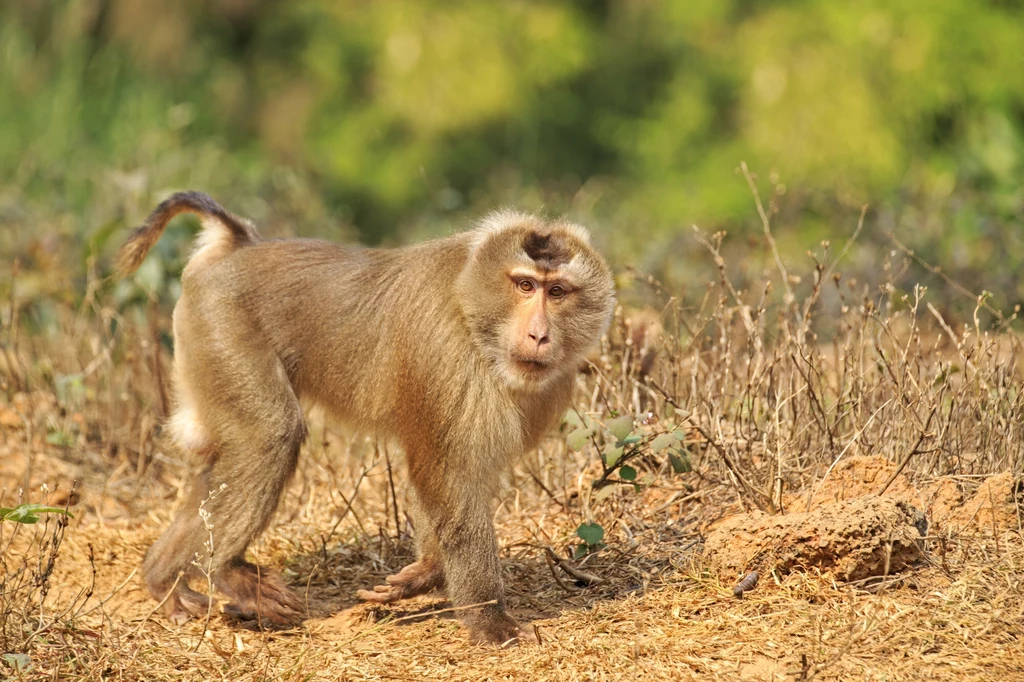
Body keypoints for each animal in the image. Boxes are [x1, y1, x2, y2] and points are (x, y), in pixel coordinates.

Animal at [119, 191, 614, 643]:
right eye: (525, 285)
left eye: (558, 291)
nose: (539, 335)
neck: (474, 312)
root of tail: (240, 244)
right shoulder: (447, 353)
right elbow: (448, 472)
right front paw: (489, 619)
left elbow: (442, 472)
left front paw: (425, 574)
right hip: (222, 324)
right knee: (270, 435)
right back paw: (224, 570)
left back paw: (162, 581)